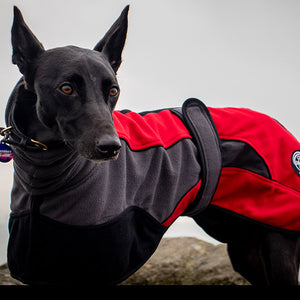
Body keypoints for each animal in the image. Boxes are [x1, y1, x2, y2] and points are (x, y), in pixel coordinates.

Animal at [3, 5, 300, 284]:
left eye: (113, 90)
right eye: (66, 88)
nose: (111, 148)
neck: (44, 173)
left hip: (277, 245)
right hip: (244, 248)